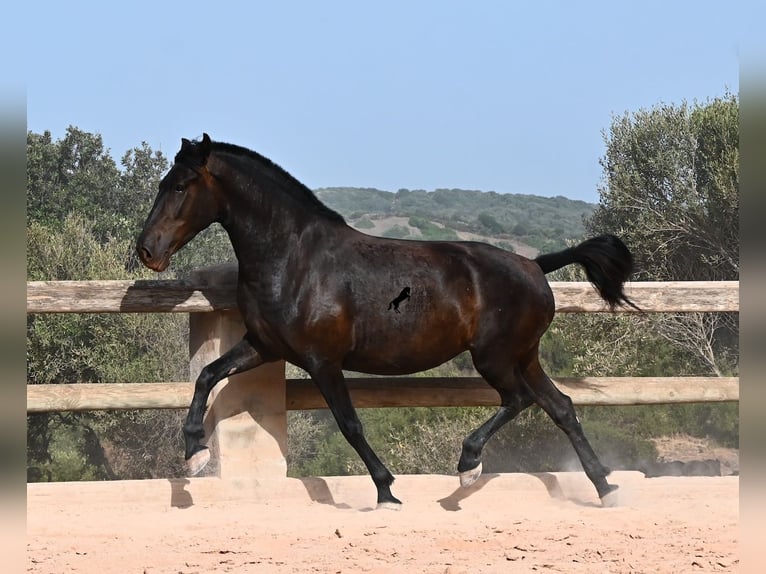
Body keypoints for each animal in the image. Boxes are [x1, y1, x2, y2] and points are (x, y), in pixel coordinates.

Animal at [137, 133, 638, 509]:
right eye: (164, 181)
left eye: (180, 186)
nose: (147, 250)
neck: (295, 259)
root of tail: (535, 265)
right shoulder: (264, 345)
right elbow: (206, 374)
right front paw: (195, 453)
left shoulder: (322, 360)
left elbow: (349, 423)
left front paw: (386, 491)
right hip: (524, 355)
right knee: (561, 407)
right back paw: (605, 488)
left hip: (494, 357)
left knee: (519, 400)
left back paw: (468, 466)